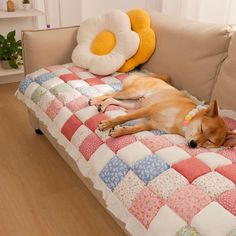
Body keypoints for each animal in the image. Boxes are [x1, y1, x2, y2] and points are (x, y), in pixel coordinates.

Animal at [89, 74, 236, 148]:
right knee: (112, 94)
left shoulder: (150, 124)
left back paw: (102, 105)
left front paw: (119, 131)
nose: (194, 144)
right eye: (201, 129)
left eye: (210, 141)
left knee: (112, 99)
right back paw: (96, 100)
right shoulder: (149, 110)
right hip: (132, 94)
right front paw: (107, 124)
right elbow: (123, 118)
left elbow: (133, 129)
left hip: (133, 104)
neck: (181, 119)